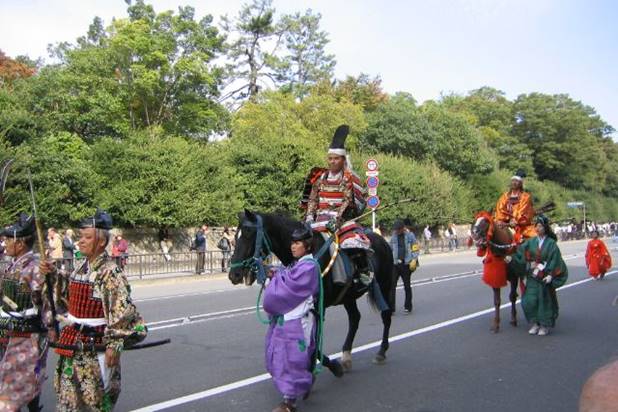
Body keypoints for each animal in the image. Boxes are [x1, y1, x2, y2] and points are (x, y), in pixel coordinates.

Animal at [227, 211, 394, 372]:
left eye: (249, 233)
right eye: (236, 236)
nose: (234, 274)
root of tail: (383, 241)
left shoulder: (319, 307)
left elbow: (314, 344)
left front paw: (329, 367)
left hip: (385, 285)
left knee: (386, 315)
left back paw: (381, 352)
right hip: (348, 296)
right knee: (355, 318)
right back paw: (346, 356)